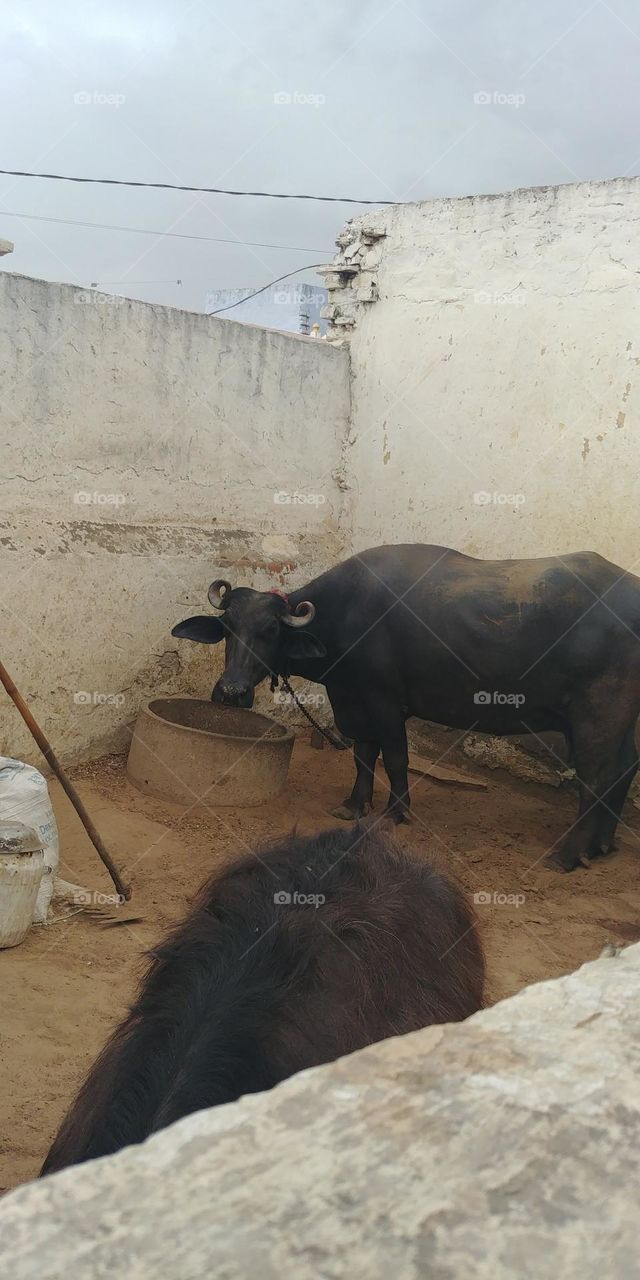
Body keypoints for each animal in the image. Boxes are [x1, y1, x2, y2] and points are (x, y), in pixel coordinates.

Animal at [172, 544, 640, 871]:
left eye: (270, 630)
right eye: (228, 627)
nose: (230, 692)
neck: (346, 615)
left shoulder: (385, 701)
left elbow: (395, 757)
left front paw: (396, 811)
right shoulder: (352, 699)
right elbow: (363, 755)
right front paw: (354, 804)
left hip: (598, 716)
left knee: (597, 779)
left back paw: (569, 854)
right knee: (625, 769)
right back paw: (602, 845)